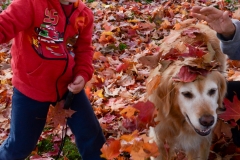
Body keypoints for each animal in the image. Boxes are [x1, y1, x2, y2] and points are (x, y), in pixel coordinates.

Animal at [147, 19, 228, 160]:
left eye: (212, 91)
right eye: (186, 94)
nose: (208, 121)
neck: (178, 122)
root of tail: (194, 24)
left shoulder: (198, 142)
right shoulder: (159, 138)